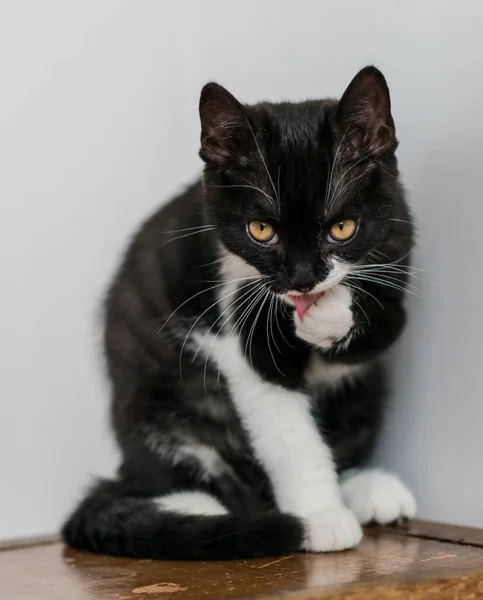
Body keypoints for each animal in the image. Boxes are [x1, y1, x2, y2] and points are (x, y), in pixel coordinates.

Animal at [61, 67, 416, 564]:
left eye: (342, 227)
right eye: (261, 230)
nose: (303, 278)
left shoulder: (397, 248)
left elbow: (385, 324)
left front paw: (330, 314)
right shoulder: (231, 314)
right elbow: (284, 426)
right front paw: (321, 517)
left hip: (365, 393)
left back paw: (369, 490)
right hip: (159, 403)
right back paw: (205, 513)